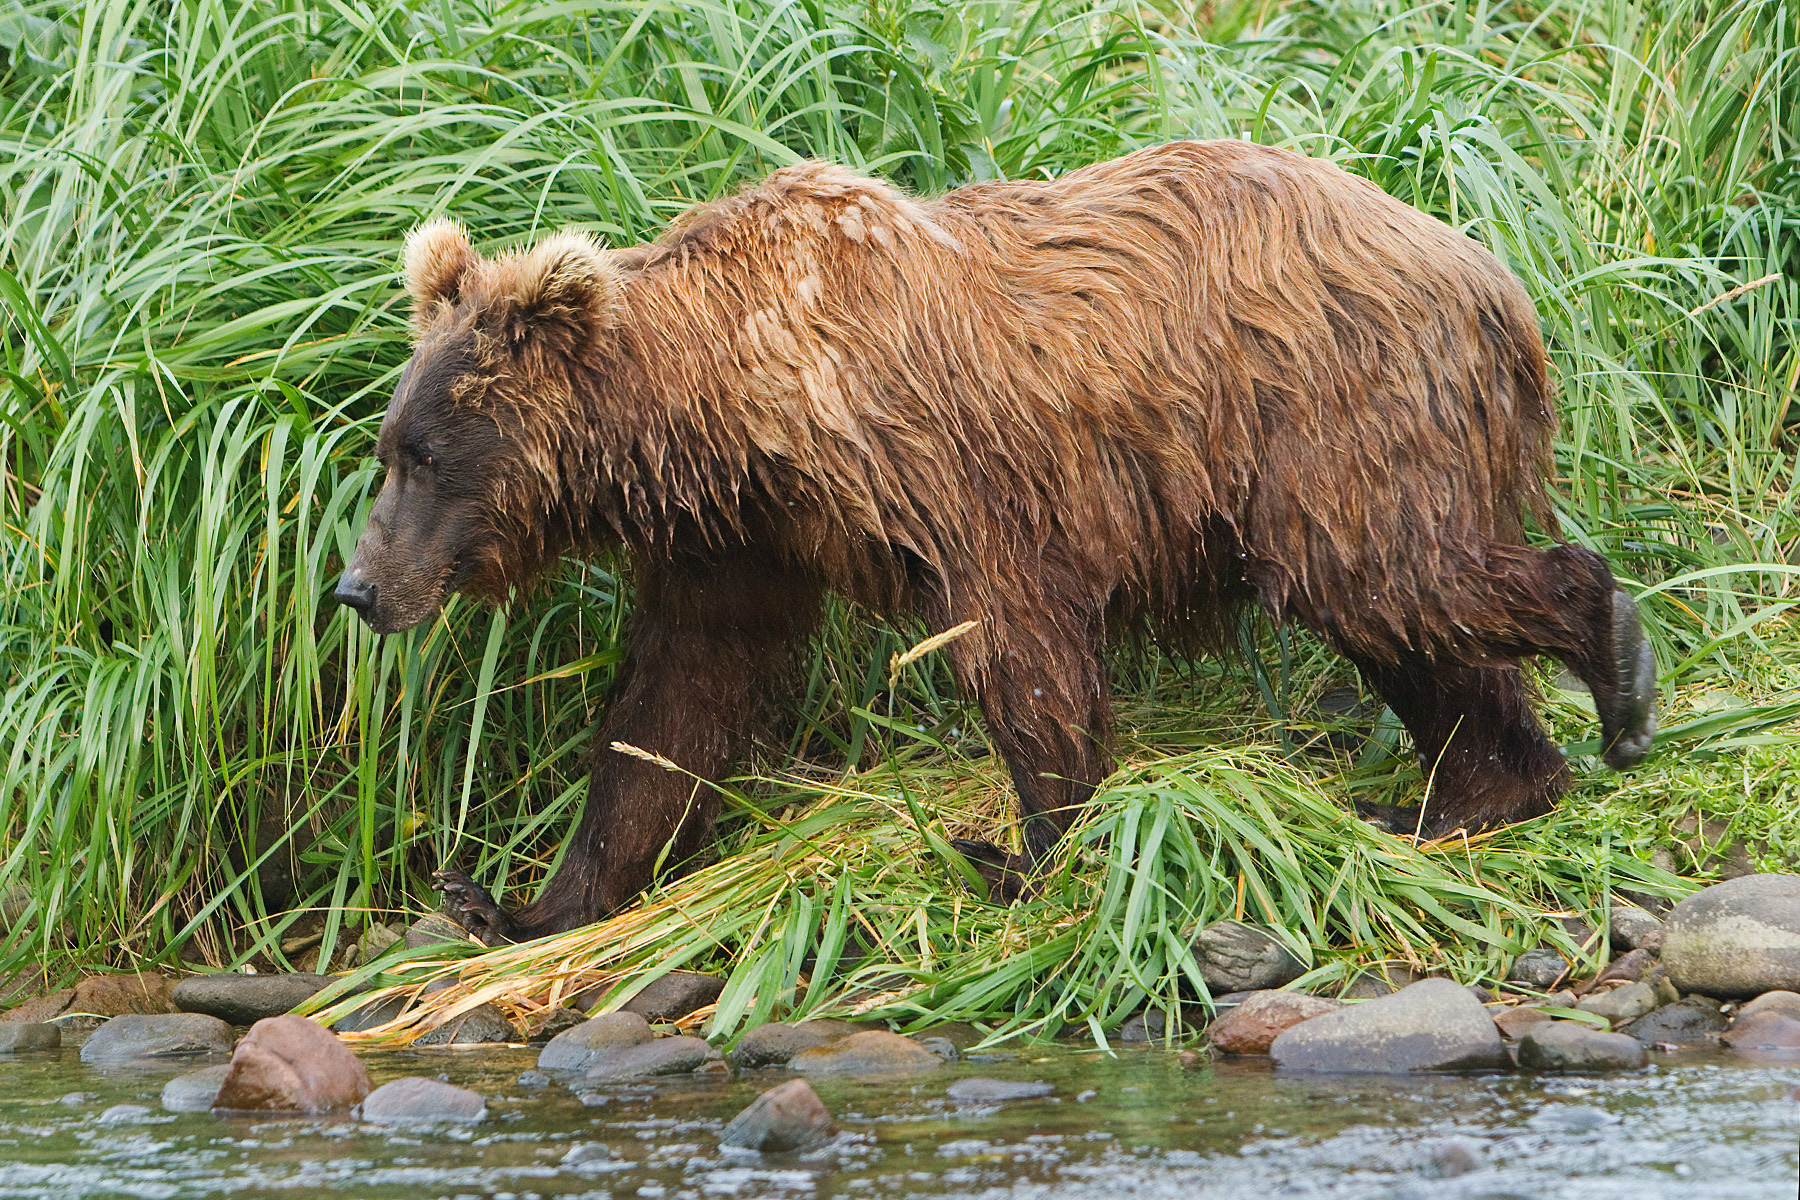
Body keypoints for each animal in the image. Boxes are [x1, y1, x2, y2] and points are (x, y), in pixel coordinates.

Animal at [335, 139, 1656, 944]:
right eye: (389, 443)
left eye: (423, 456)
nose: (356, 586)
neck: (725, 408)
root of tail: (1495, 279)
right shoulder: (740, 543)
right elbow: (670, 710)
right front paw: (509, 899)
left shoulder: (945, 472)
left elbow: (1019, 648)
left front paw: (1022, 850)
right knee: (1407, 622)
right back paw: (1470, 795)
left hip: (1327, 412)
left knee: (1392, 578)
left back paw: (1613, 660)